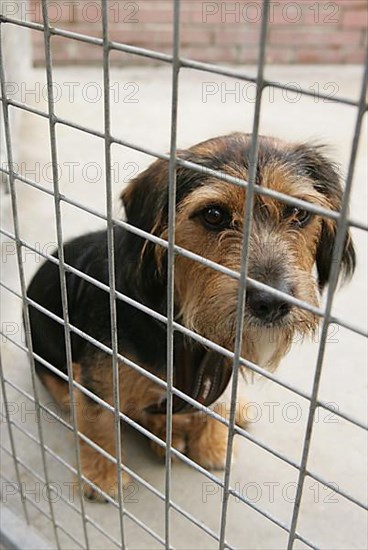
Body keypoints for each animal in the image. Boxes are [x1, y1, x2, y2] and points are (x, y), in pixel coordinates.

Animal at [25, 133, 354, 500]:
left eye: (298, 212)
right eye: (213, 214)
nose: (272, 302)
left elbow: (213, 400)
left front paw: (211, 442)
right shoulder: (98, 377)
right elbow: (98, 421)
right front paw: (102, 476)